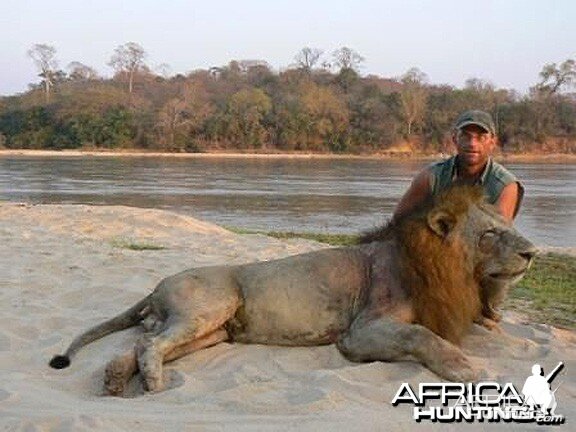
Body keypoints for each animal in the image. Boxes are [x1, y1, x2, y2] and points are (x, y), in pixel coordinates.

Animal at [48, 184, 536, 396]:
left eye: (508, 225)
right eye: (490, 234)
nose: (532, 252)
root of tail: (156, 285)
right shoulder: (360, 332)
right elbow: (421, 335)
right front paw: (465, 369)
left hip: (214, 332)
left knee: (146, 342)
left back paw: (115, 378)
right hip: (213, 304)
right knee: (152, 345)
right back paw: (150, 383)